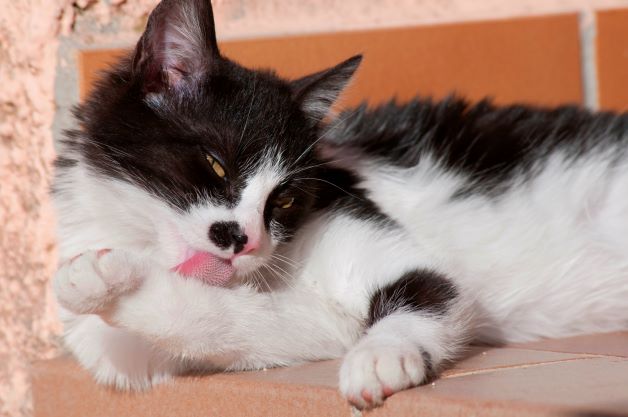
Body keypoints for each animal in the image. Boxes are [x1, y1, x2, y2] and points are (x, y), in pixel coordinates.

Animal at [52, 0, 628, 410]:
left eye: (284, 197)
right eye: (216, 165)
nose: (244, 239)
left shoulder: (364, 218)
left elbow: (427, 288)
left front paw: (379, 356)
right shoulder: (296, 325)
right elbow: (221, 321)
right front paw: (103, 279)